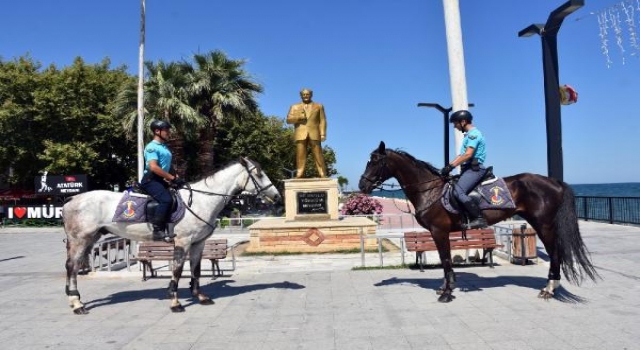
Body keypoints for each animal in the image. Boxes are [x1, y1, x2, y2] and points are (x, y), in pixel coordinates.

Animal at [360, 141, 600, 302]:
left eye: (375, 162)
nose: (362, 185)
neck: (430, 190)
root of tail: (555, 182)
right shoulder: (439, 233)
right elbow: (445, 261)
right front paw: (445, 287)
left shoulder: (439, 231)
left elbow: (446, 260)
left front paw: (447, 293)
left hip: (544, 225)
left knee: (555, 253)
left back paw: (549, 289)